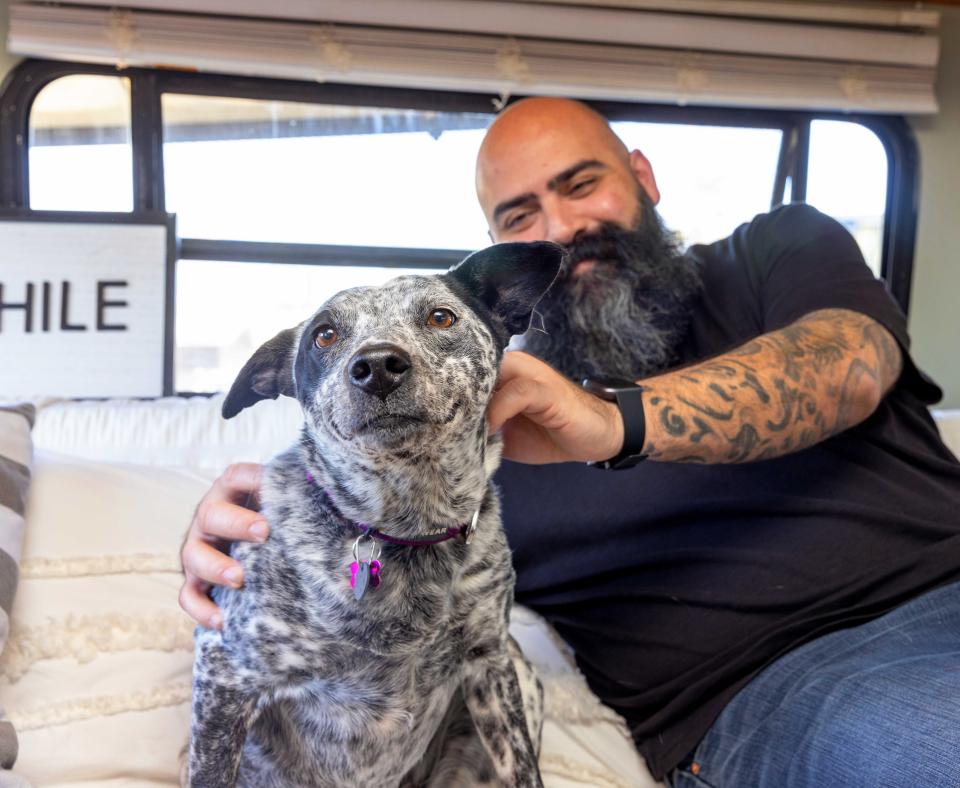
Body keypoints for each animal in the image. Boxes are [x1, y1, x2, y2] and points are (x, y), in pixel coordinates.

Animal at [186, 243, 564, 784]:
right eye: (324, 334)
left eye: (441, 317)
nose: (378, 364)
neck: (405, 523)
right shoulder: (225, 671)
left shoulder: (490, 661)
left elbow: (524, 767)